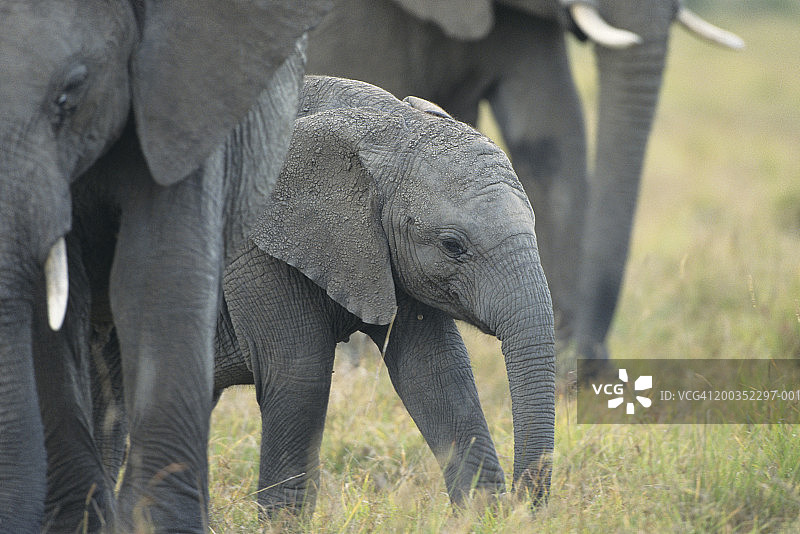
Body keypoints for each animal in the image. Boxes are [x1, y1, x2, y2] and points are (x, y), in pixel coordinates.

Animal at [95, 75, 556, 516]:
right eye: (452, 245)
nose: (526, 506)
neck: (378, 123)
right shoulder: (254, 249)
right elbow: (300, 376)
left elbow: (437, 371)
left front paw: (484, 516)